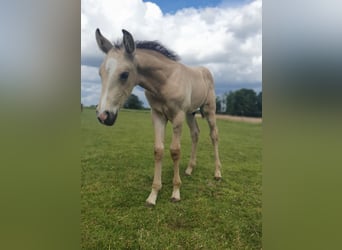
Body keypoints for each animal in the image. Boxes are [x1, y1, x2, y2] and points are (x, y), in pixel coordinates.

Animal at [95, 28, 222, 205]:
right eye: (100, 73)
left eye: (124, 74)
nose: (103, 116)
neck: (165, 81)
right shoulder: (157, 115)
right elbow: (158, 150)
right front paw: (153, 195)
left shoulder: (178, 115)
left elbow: (175, 151)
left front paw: (175, 192)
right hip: (190, 113)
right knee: (195, 134)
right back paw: (189, 169)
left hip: (209, 110)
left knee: (214, 135)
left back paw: (217, 173)